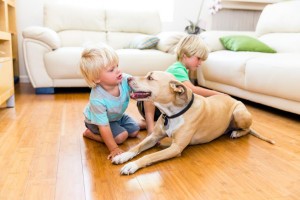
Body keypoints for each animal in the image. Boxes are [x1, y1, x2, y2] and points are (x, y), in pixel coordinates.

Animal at [112, 71, 274, 174]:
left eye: (150, 77)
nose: (128, 79)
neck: (172, 113)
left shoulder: (175, 148)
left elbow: (148, 156)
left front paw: (132, 165)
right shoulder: (153, 137)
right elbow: (137, 147)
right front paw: (123, 156)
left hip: (239, 113)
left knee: (247, 129)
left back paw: (236, 132)